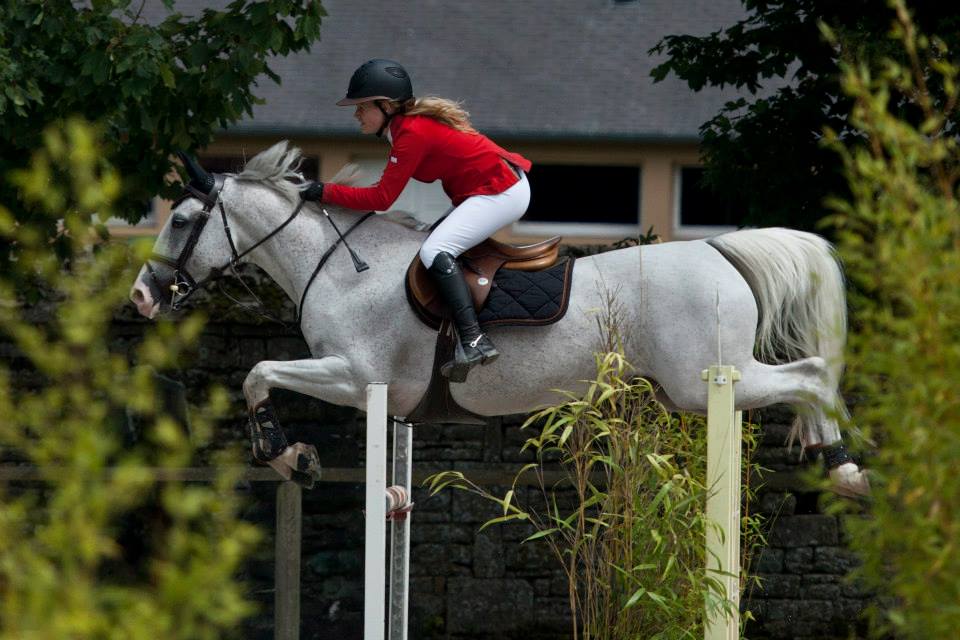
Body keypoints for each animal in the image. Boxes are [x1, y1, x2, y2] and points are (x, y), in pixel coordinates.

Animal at [127, 142, 872, 498]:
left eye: (184, 220)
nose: (140, 296)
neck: (342, 268)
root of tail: (718, 248)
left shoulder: (357, 377)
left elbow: (257, 372)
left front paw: (289, 456)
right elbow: (259, 374)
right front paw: (294, 459)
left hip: (707, 381)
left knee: (810, 374)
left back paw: (840, 467)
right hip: (698, 384)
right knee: (808, 378)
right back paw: (831, 459)